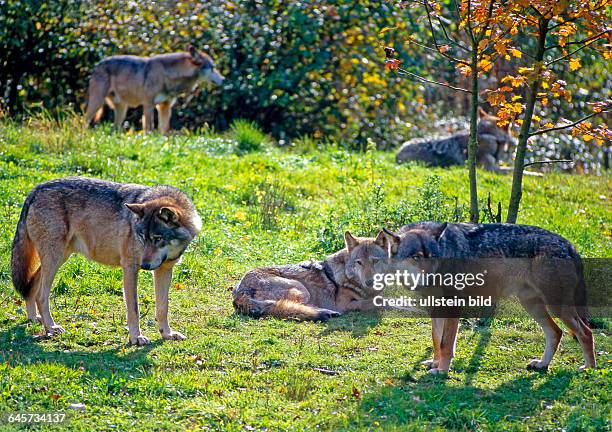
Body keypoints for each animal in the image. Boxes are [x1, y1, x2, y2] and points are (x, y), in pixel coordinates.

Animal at [10, 176, 201, 344]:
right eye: (142, 237)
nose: (145, 265)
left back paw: (34, 319)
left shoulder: (164, 269)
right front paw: (136, 338)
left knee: (32, 285)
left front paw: (167, 334)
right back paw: (50, 327)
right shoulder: (130, 268)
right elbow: (134, 309)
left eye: (157, 239)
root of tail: (36, 189)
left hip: (58, 258)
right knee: (41, 295)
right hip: (54, 259)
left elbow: (163, 307)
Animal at [85, 44, 225, 133]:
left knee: (114, 129)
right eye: (212, 68)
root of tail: (97, 65)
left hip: (122, 109)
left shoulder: (165, 106)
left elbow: (163, 130)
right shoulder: (148, 104)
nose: (223, 79)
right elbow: (149, 128)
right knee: (84, 121)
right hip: (97, 102)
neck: (167, 75)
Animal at [232, 233, 394, 320]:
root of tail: (239, 292)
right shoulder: (345, 305)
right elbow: (379, 301)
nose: (370, 282)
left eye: (375, 261)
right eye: (359, 262)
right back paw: (325, 313)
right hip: (301, 289)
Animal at [384, 221, 596, 372]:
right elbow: (436, 339)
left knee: (586, 333)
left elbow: (446, 344)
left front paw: (442, 371)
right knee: (556, 332)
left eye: (433, 257)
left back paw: (589, 369)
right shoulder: (435, 309)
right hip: (533, 306)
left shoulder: (453, 306)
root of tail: (568, 244)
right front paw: (435, 364)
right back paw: (543, 364)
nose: (431, 277)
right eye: (416, 257)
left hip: (556, 307)